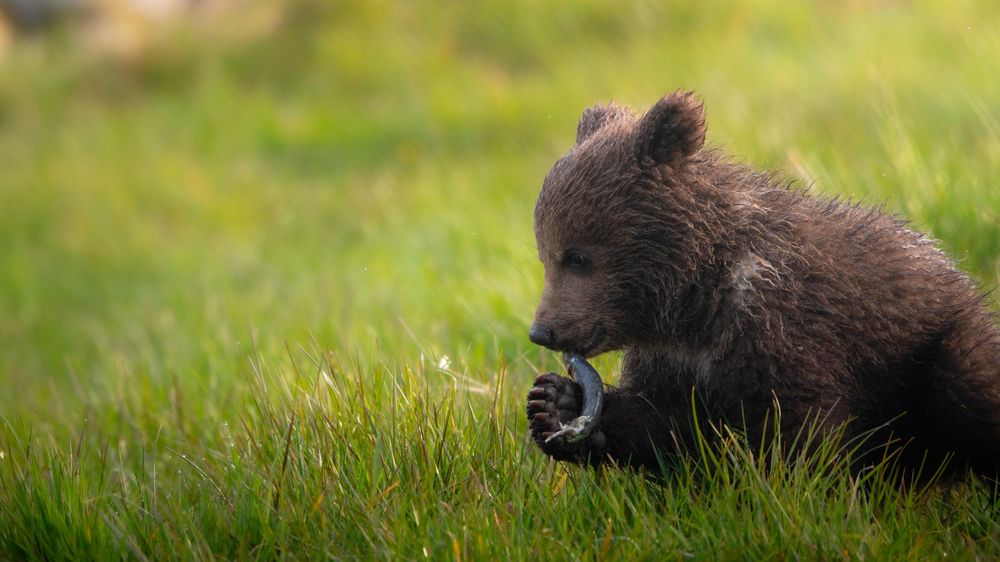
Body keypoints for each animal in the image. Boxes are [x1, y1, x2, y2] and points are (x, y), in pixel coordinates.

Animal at [525, 91, 1000, 477]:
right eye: (544, 253)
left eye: (576, 256)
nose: (542, 330)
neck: (695, 299)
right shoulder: (672, 357)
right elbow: (666, 421)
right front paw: (555, 402)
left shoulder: (784, 325)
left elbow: (799, 427)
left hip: (945, 339)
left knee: (966, 382)